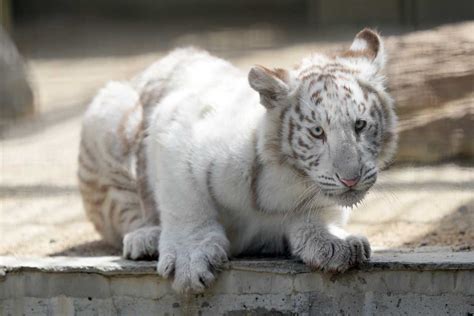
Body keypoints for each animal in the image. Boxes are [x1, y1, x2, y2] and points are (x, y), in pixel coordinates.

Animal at [78, 28, 396, 292]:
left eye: (360, 125)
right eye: (317, 132)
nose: (350, 179)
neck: (289, 180)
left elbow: (317, 214)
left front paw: (334, 243)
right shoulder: (175, 123)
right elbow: (185, 201)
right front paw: (189, 259)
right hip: (109, 118)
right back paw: (146, 238)